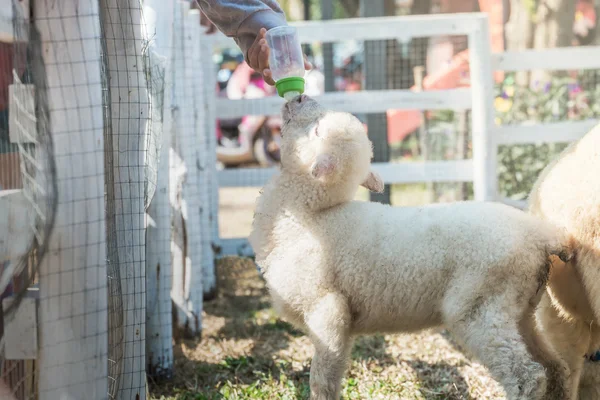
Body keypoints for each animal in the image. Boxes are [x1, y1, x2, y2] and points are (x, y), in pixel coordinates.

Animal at [248, 94, 572, 400]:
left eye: (317, 130)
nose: (299, 98)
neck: (304, 218)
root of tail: (539, 234)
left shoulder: (328, 310)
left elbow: (323, 378)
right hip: (520, 310)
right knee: (556, 368)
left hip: (481, 305)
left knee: (527, 376)